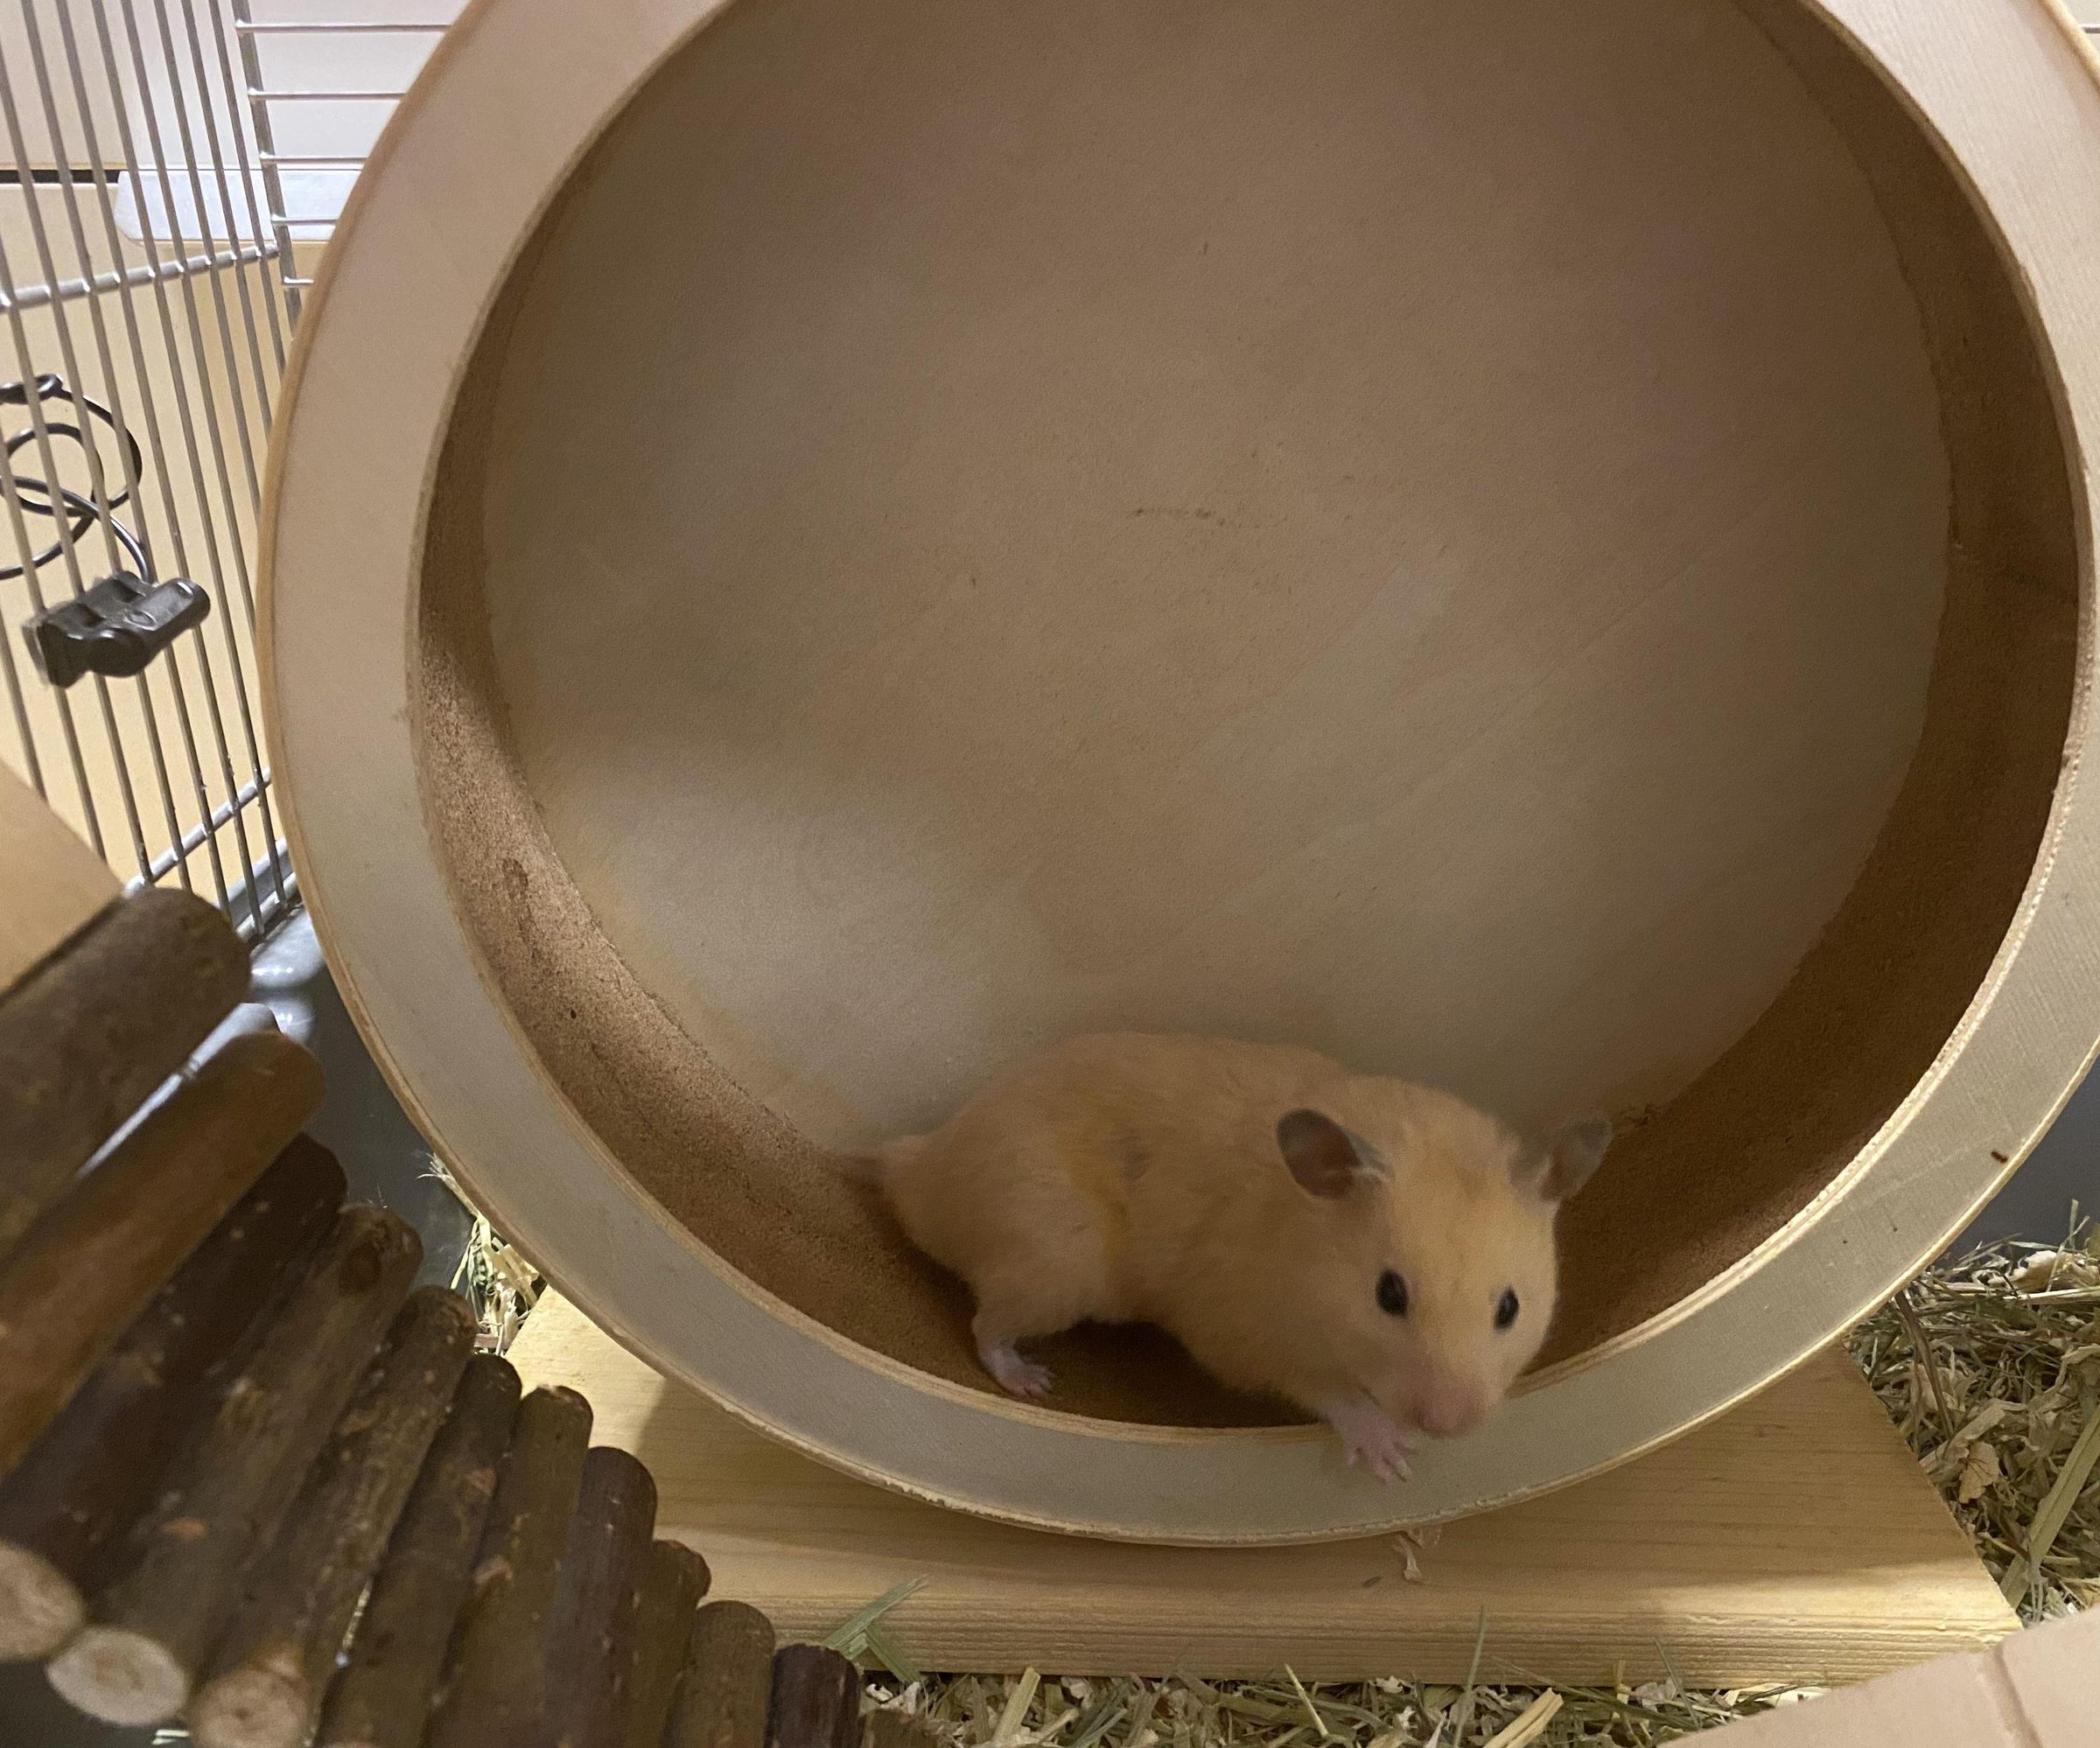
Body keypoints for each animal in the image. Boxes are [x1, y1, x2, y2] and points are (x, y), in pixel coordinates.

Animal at [864, 1032, 1610, 1480]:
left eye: (1510, 1307)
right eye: (1389, 1295)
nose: (1449, 1427)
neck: (1308, 1259)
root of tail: (917, 1165)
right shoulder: (1242, 1333)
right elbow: (1328, 1391)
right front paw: (1393, 1459)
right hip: (1052, 1265)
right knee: (984, 1327)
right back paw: (1030, 1381)